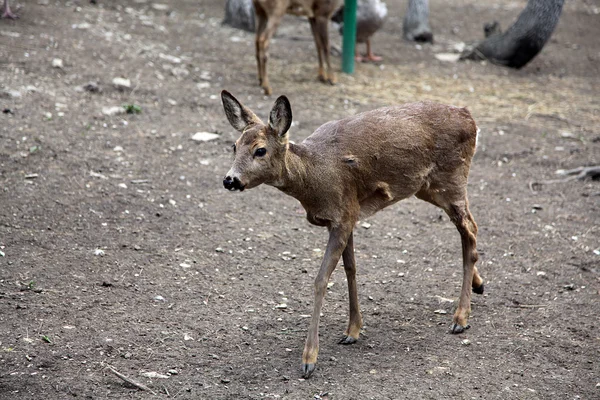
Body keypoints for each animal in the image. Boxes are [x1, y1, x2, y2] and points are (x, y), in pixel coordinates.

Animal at [223, 90, 486, 378]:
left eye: (260, 150)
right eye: (234, 146)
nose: (230, 180)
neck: (313, 178)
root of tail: (469, 116)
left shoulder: (343, 214)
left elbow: (321, 279)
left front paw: (309, 359)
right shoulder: (347, 215)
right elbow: (351, 268)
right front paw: (353, 330)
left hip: (452, 179)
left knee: (470, 229)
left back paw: (460, 317)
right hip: (427, 188)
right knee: (471, 227)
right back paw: (479, 284)